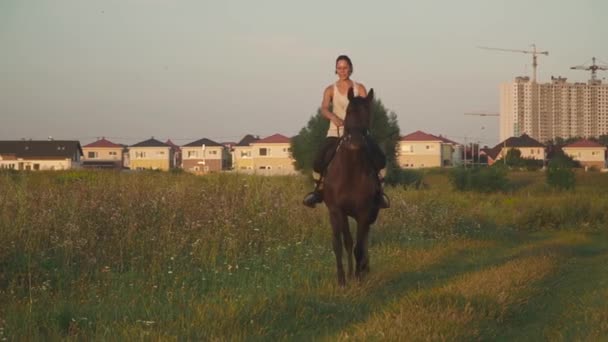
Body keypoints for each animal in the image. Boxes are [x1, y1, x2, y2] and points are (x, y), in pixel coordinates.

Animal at [324, 86, 380, 286]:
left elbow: (359, 246)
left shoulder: (364, 211)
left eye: (368, 112)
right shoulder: (336, 211)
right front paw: (342, 279)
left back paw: (363, 268)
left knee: (364, 240)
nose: (355, 141)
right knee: (348, 241)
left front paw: (358, 277)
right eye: (348, 111)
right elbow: (340, 244)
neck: (350, 171)